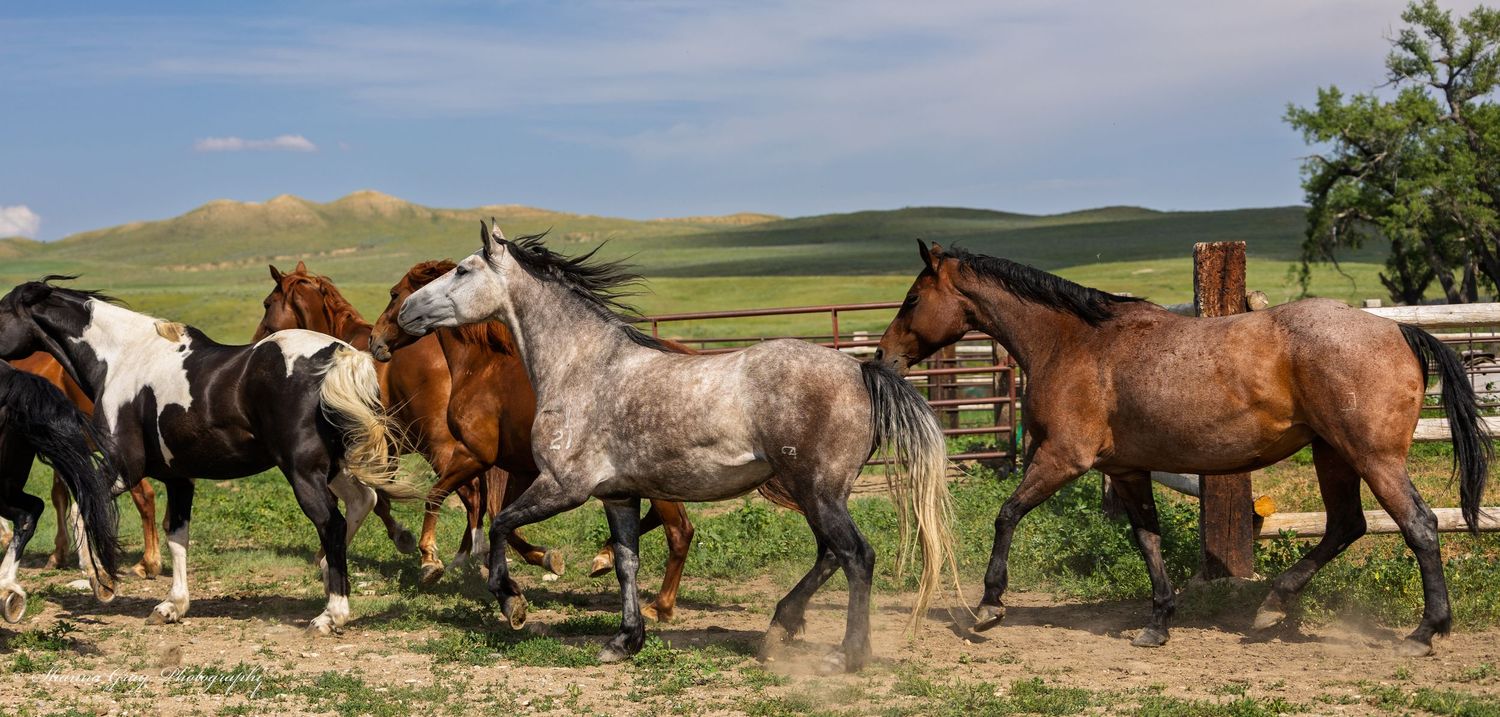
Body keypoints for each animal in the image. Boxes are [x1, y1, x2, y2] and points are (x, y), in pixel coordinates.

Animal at [255, 262, 563, 583]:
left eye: (267, 303)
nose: (257, 341)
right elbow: (379, 494)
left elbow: (373, 499)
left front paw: (398, 540)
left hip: (440, 448)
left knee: (470, 493)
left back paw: (452, 558)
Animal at [396, 223, 955, 671]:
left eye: (463, 270)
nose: (404, 311)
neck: (584, 367)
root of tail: (860, 371)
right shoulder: (618, 495)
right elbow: (625, 563)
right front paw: (625, 641)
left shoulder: (563, 487)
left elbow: (499, 525)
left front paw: (511, 602)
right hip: (817, 494)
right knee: (830, 554)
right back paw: (778, 629)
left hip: (818, 491)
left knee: (857, 555)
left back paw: (848, 655)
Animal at [873, 241, 1491, 657]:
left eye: (911, 298)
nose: (882, 356)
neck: (1074, 343)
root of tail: (1397, 331)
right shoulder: (1126, 470)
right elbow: (1147, 539)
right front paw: (1157, 624)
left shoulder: (1063, 458)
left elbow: (1006, 515)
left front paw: (987, 607)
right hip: (1332, 454)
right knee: (1346, 526)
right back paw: (1271, 609)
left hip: (1372, 457)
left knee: (1418, 525)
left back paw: (1425, 632)